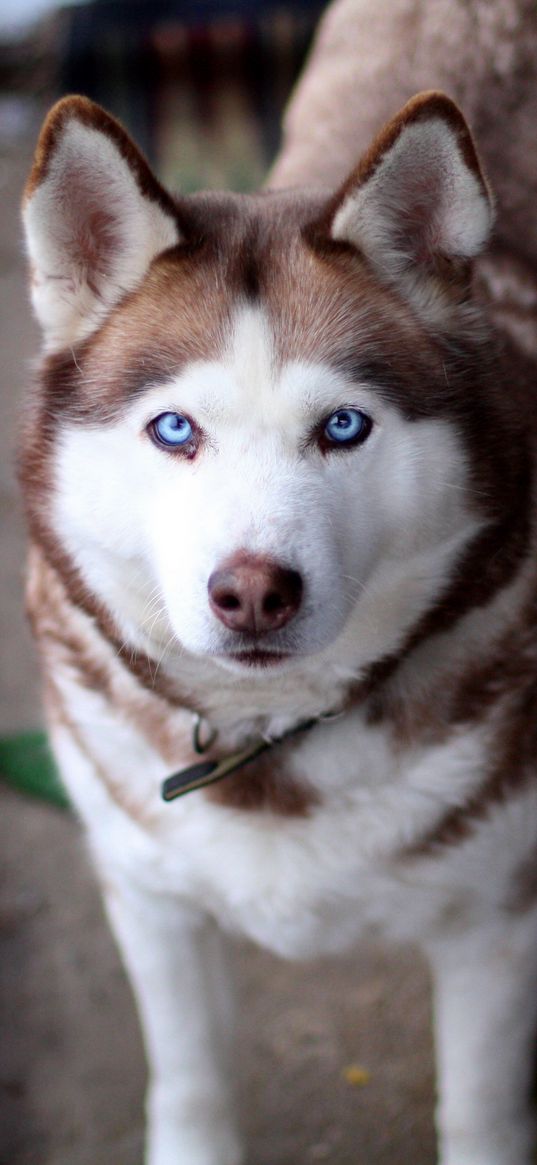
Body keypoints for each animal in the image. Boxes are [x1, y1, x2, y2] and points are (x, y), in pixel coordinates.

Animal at [18, 2, 535, 1165]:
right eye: (175, 430)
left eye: (342, 426)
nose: (253, 591)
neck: (274, 734)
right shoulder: (149, 895)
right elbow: (191, 1085)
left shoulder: (494, 918)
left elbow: (480, 1108)